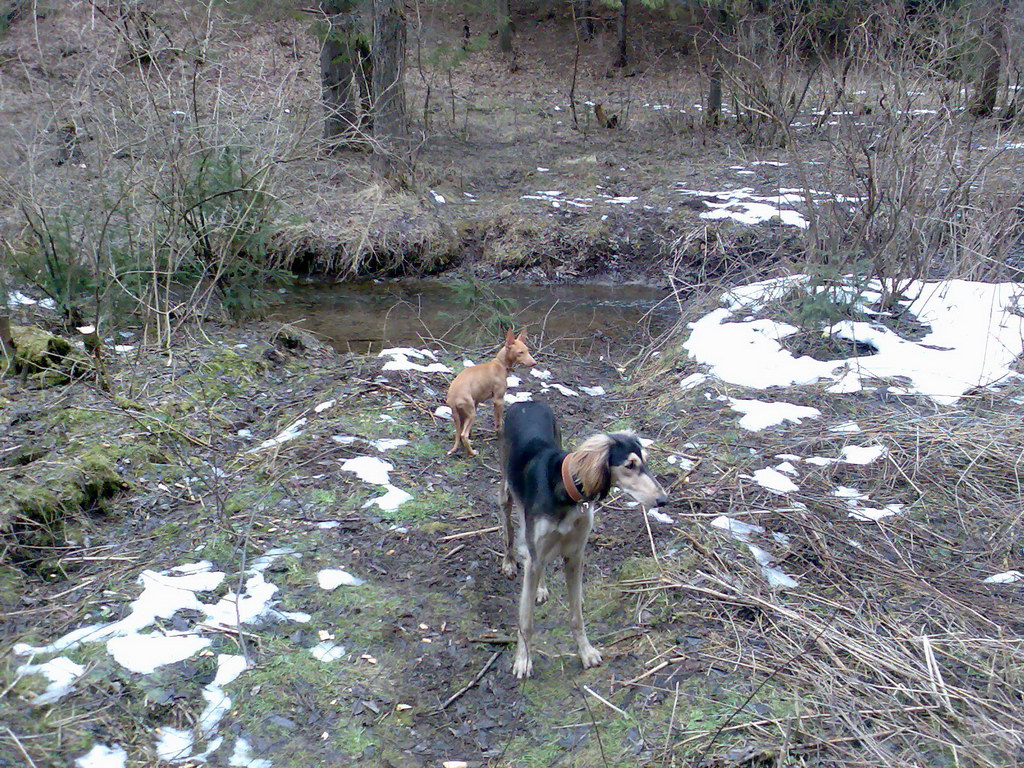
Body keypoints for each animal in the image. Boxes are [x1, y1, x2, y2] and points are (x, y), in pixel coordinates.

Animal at [497, 403, 671, 679]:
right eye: (630, 465)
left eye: (645, 462)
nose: (663, 500)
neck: (565, 490)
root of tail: (528, 402)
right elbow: (526, 620)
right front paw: (523, 660)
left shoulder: (575, 555)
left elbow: (576, 614)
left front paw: (586, 652)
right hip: (507, 492)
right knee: (510, 528)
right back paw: (509, 562)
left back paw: (540, 588)